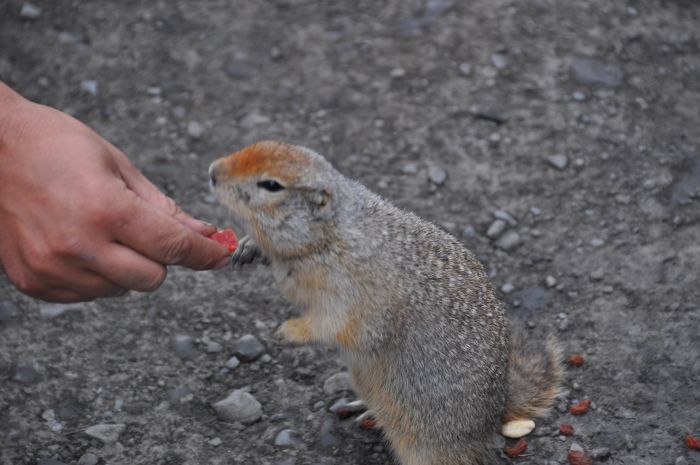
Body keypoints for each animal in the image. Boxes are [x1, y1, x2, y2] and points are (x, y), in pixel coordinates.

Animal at [208, 140, 564, 462]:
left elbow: (332, 324)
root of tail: (496, 413)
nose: (212, 171)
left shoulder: (349, 294)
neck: (328, 236)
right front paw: (248, 247)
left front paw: (289, 331)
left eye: (271, 185)